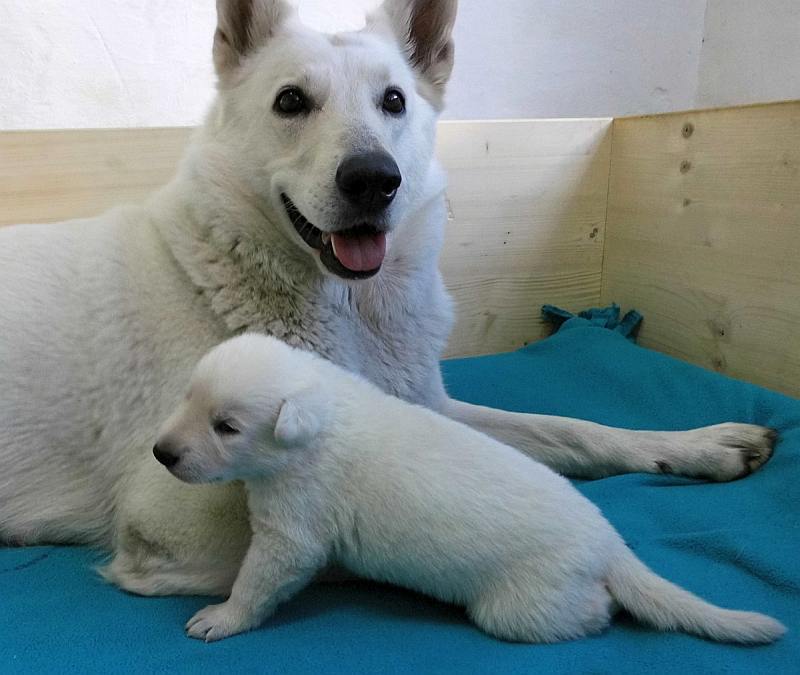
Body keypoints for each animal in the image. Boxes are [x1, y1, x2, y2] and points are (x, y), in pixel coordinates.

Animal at [0, 0, 776, 596]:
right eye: (291, 101)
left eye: (394, 101)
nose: (375, 180)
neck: (348, 312)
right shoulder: (173, 522)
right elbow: (351, 538)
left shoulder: (428, 409)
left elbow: (571, 429)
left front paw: (698, 445)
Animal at [153, 336, 784, 648]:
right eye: (185, 398)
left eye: (226, 426)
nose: (161, 453)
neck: (321, 411)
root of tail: (609, 546)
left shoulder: (295, 525)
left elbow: (261, 577)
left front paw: (223, 617)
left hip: (519, 606)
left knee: (591, 613)